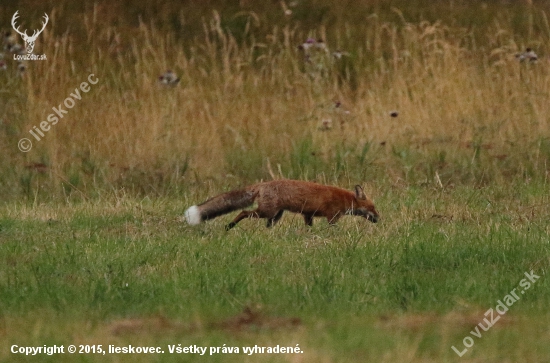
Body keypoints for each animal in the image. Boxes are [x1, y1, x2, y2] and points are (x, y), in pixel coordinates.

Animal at [185, 181, 380, 232]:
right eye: (373, 208)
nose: (379, 219)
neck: (345, 199)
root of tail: (263, 184)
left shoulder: (308, 214)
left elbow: (309, 227)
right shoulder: (332, 216)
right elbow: (333, 228)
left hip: (275, 215)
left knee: (266, 225)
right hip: (266, 212)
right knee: (243, 212)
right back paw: (229, 226)